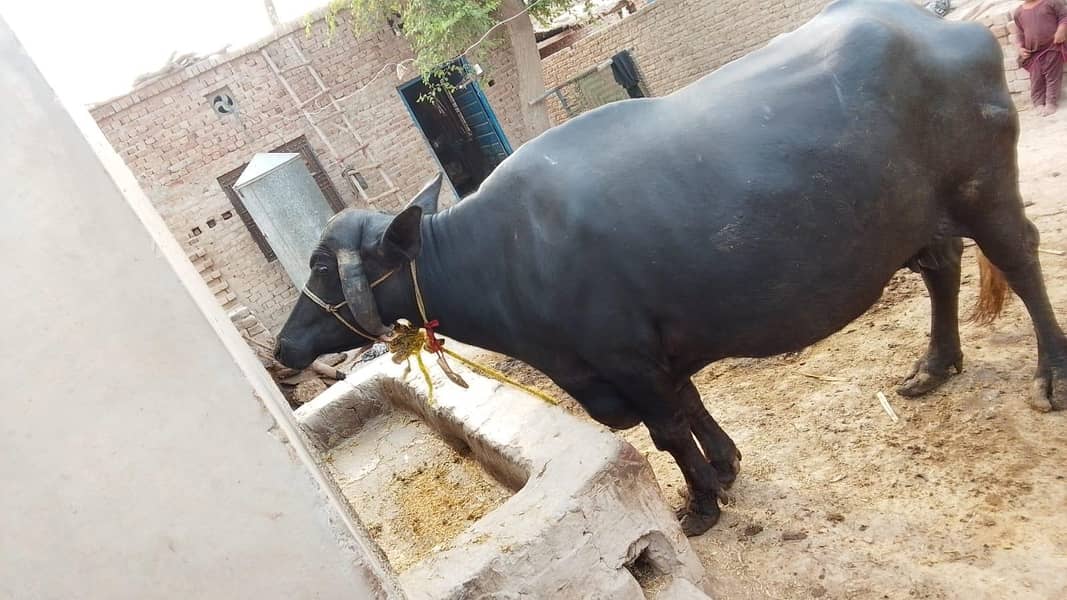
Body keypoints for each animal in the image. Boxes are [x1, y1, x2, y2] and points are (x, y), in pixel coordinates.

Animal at [275, 0, 1067, 535]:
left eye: (321, 263)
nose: (283, 346)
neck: (504, 255)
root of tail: (940, 26)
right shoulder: (658, 354)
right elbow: (692, 408)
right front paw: (724, 465)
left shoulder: (625, 360)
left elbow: (666, 432)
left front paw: (700, 503)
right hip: (915, 215)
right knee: (941, 265)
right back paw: (933, 366)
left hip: (983, 187)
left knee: (1020, 259)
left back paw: (1051, 374)